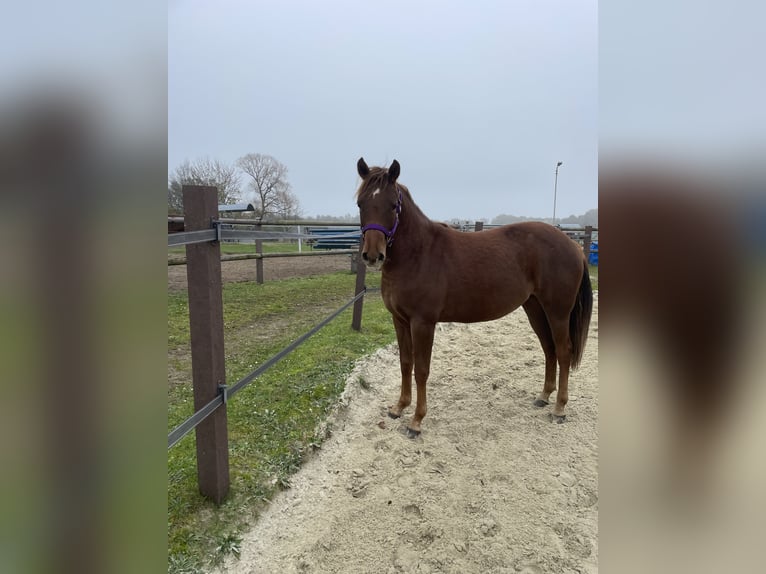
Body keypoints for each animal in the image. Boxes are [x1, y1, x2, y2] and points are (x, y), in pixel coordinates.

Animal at [356, 158, 596, 436]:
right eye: (360, 203)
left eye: (393, 205)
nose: (373, 255)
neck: (418, 253)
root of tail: (573, 245)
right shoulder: (400, 320)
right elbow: (405, 364)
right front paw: (398, 408)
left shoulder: (423, 323)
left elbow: (421, 370)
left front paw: (416, 421)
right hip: (535, 308)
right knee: (549, 349)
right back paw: (544, 396)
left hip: (558, 311)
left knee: (564, 351)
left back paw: (559, 408)